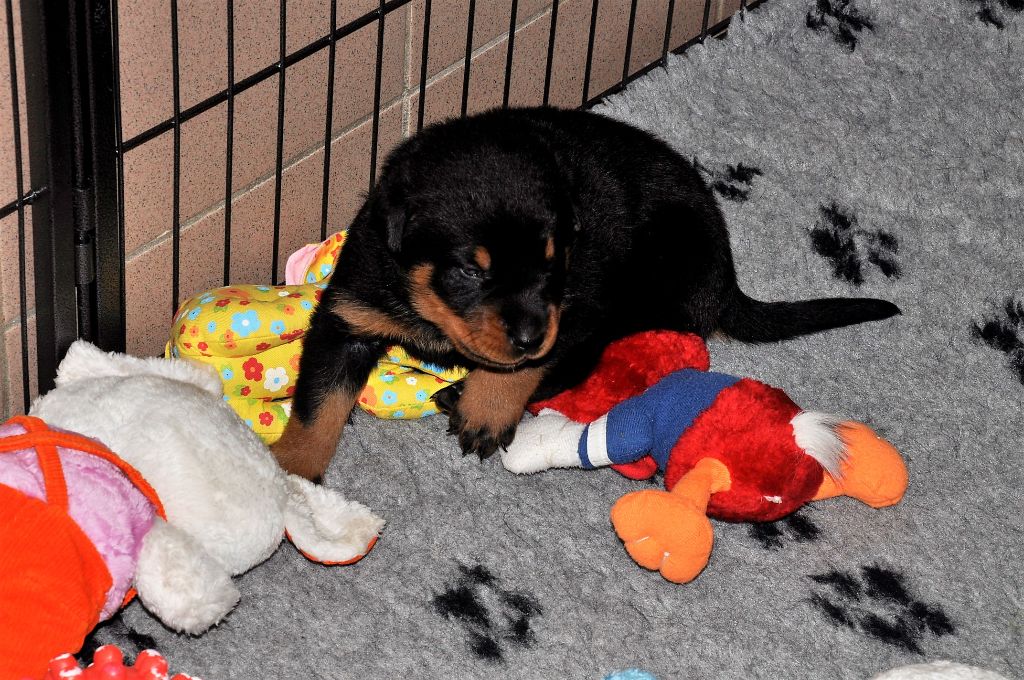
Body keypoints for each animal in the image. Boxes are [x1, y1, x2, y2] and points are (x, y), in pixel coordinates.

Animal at [270, 107, 897, 477]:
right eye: (470, 271)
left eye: (553, 262)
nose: (528, 335)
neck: (432, 313)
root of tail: (726, 277)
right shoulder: (350, 311)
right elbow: (318, 403)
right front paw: (291, 475)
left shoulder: (573, 308)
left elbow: (525, 368)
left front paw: (486, 406)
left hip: (647, 286)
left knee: (583, 362)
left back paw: (461, 395)